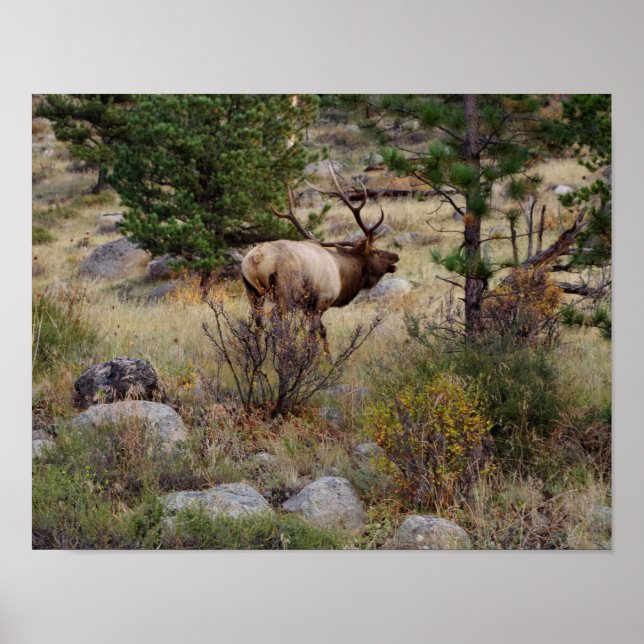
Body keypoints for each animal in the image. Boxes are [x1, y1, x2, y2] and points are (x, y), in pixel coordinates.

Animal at [241, 164, 399, 351]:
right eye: (375, 251)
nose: (395, 257)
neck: (342, 277)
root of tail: (257, 258)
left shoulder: (307, 307)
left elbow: (322, 331)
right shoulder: (321, 300)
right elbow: (314, 332)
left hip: (252, 292)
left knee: (258, 321)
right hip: (285, 292)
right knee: (276, 320)